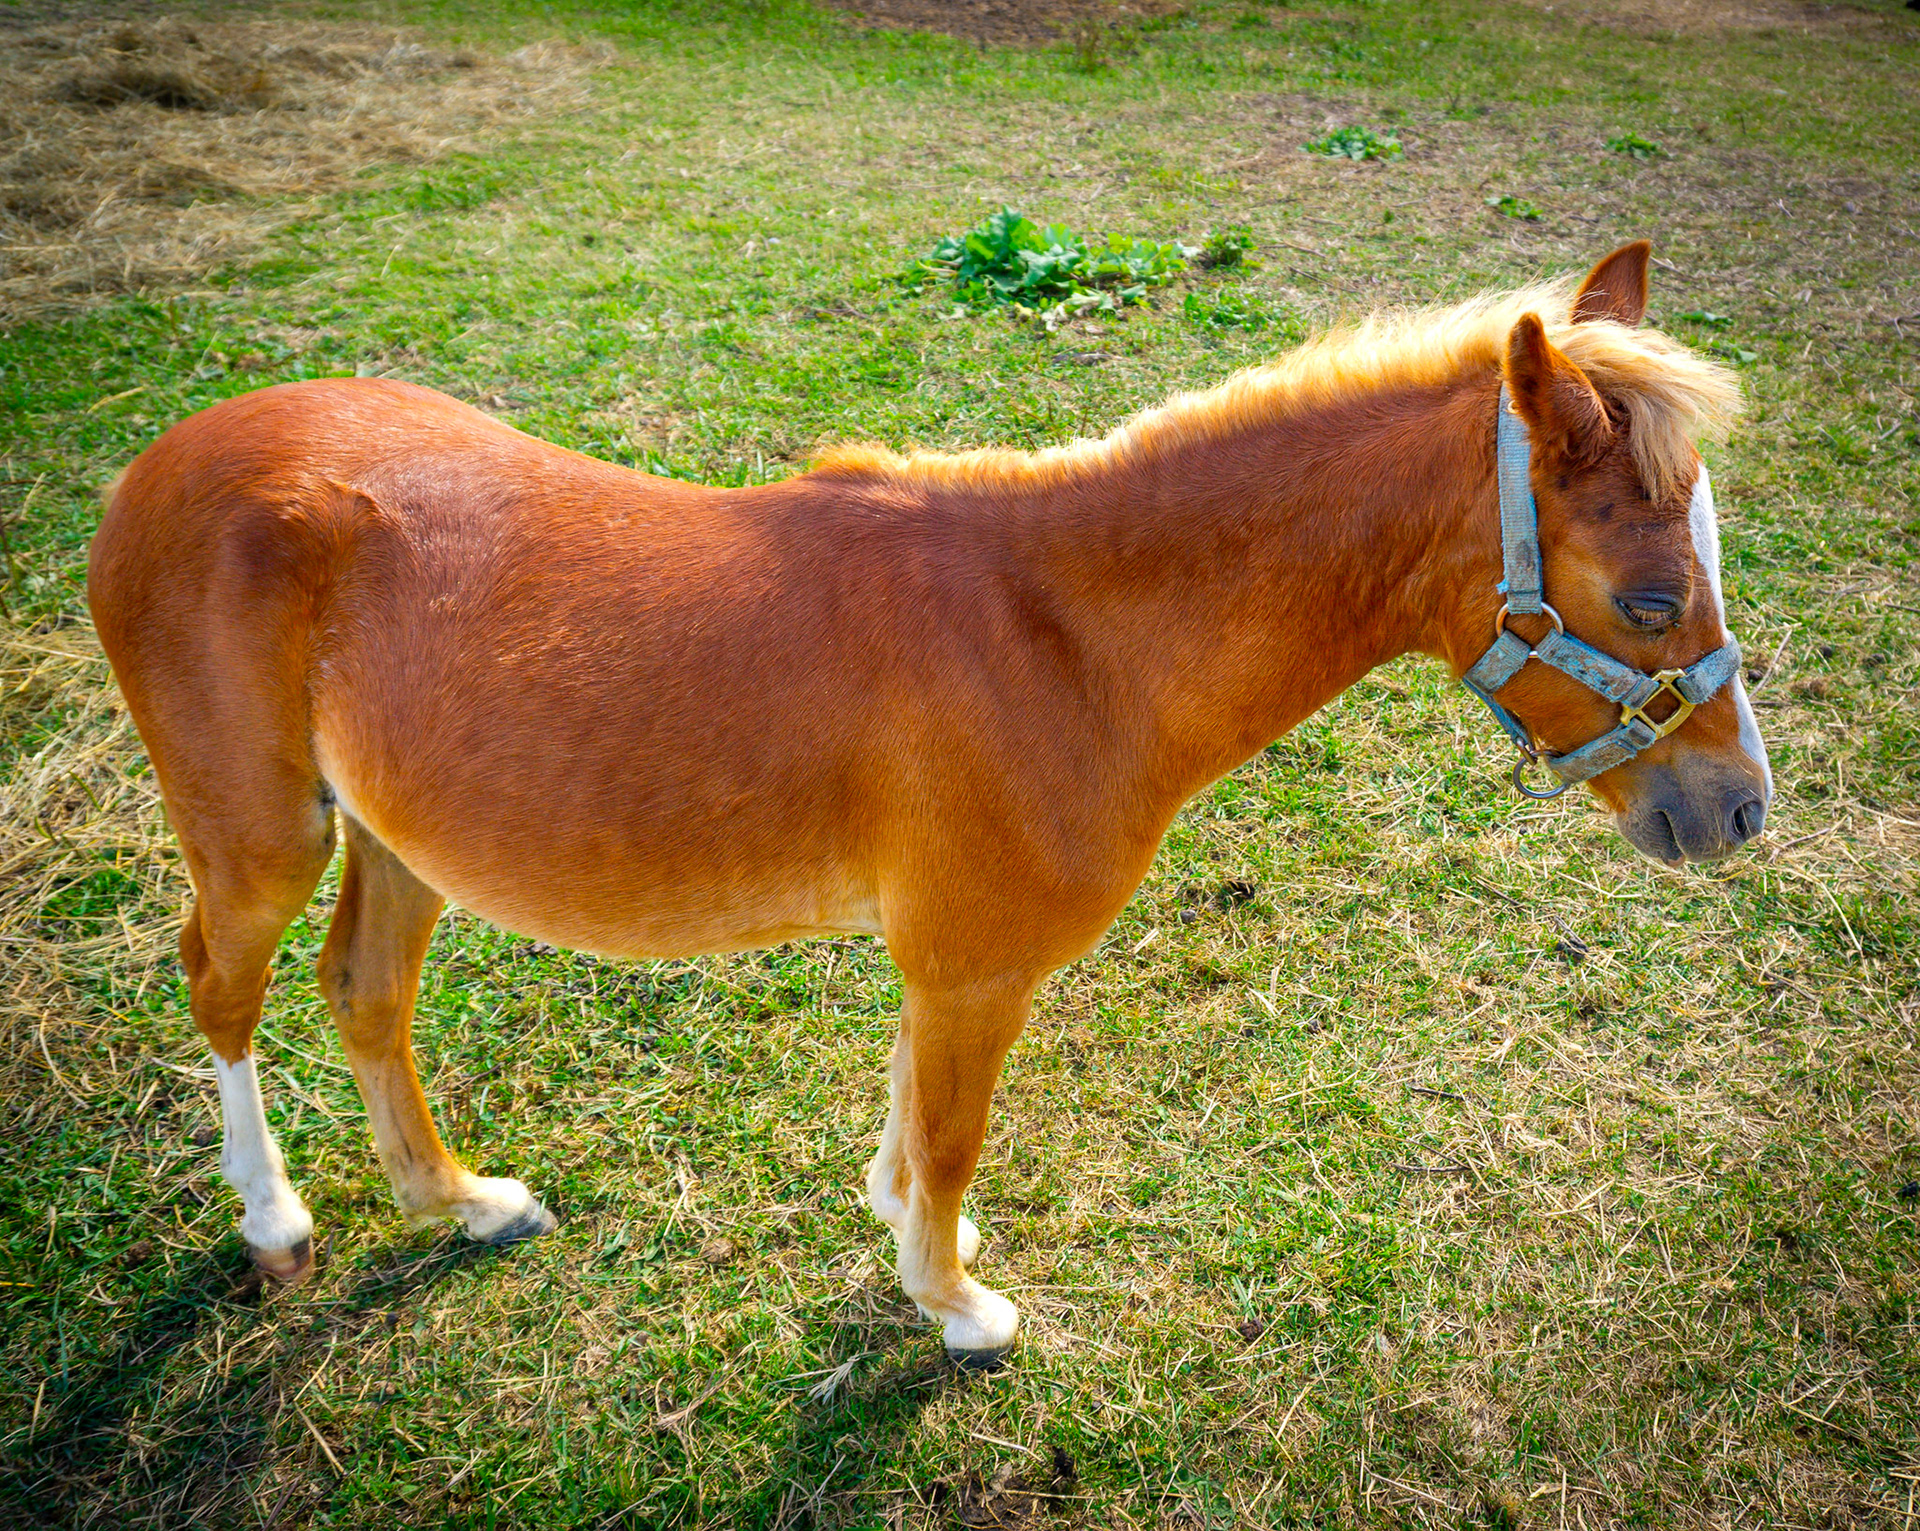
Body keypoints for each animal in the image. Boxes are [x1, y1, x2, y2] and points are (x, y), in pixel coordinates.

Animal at [89, 241, 1770, 1365]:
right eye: (1647, 594)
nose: (1741, 808)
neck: (1066, 633)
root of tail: (158, 461)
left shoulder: (943, 965)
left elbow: (914, 1130)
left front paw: (911, 1241)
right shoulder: (972, 964)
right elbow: (952, 1136)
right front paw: (957, 1303)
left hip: (398, 834)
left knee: (365, 993)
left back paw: (460, 1199)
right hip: (264, 834)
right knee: (223, 986)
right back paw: (274, 1221)